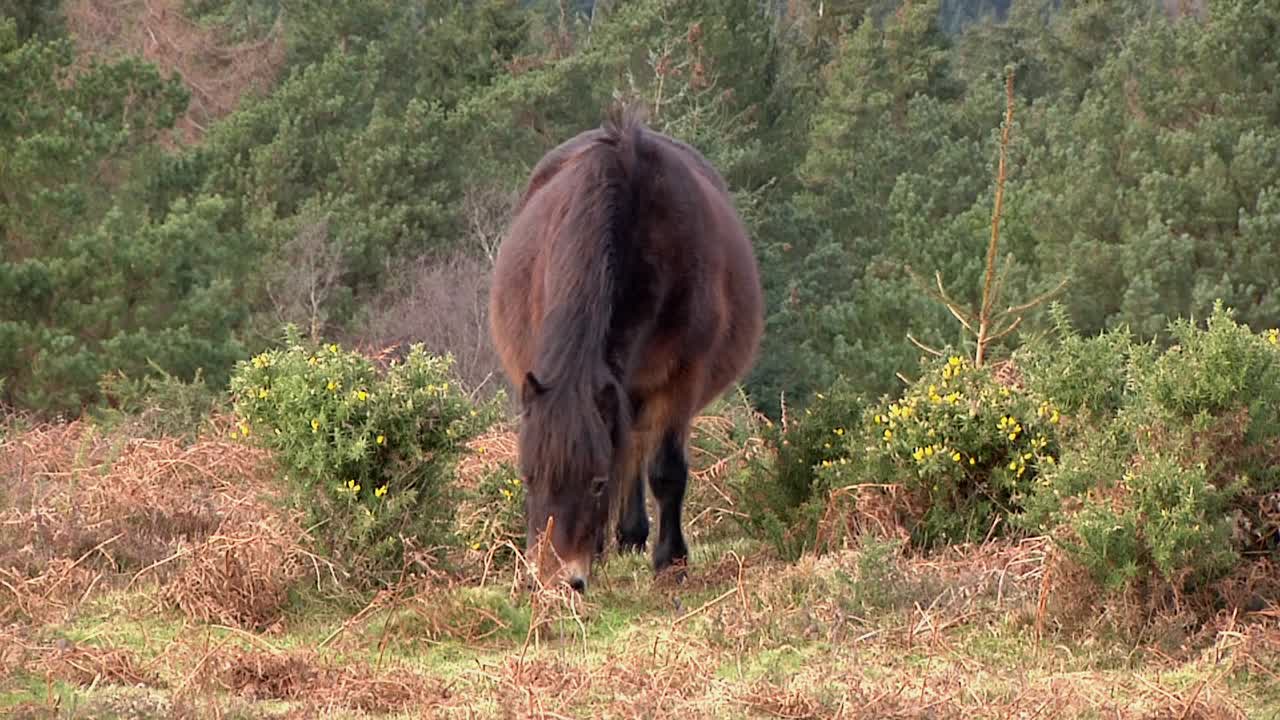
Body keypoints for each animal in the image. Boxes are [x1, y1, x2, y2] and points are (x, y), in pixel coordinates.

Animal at [487, 102, 763, 594]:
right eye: (528, 477)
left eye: (596, 483)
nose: (556, 581)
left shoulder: (681, 377)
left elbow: (665, 471)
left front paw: (671, 562)